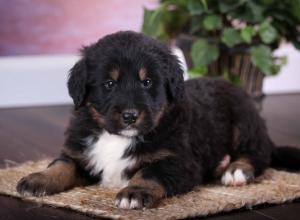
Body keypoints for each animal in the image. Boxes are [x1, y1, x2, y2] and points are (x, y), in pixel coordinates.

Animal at [17, 31, 300, 210]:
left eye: (147, 82)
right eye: (109, 84)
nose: (130, 115)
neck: (117, 138)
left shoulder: (178, 160)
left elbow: (149, 172)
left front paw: (134, 193)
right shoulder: (81, 151)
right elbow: (60, 166)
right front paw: (37, 179)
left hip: (243, 120)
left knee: (258, 154)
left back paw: (235, 170)